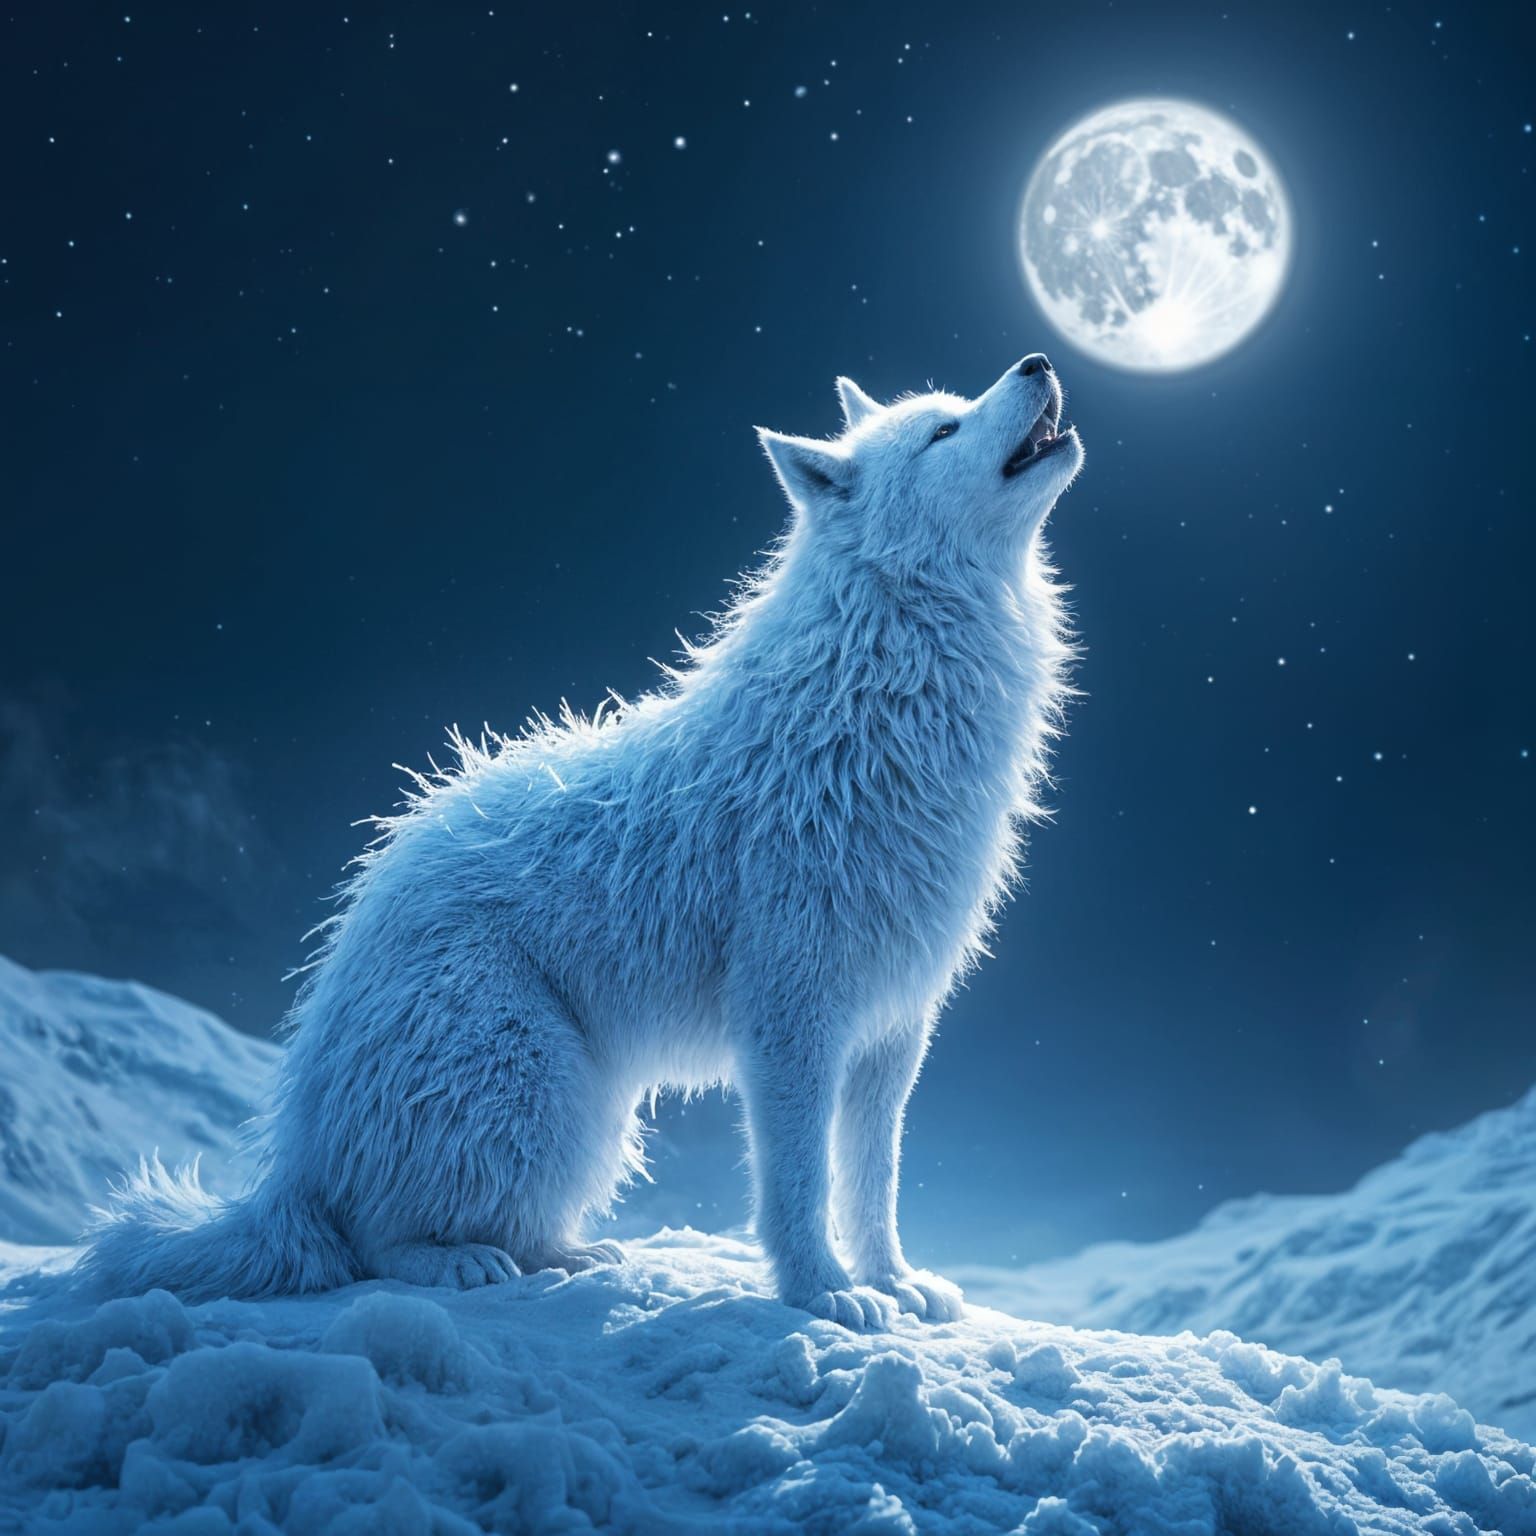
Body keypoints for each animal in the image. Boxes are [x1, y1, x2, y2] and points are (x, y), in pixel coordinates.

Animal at [80, 354, 1083, 1328]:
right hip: (529, 1079)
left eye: (957, 404)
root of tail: (296, 1151)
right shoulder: (789, 1016)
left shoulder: (893, 1027)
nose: (1038, 359)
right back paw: (456, 1263)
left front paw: (895, 1282)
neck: (876, 695)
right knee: (371, 1238)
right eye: (943, 430)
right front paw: (823, 1295)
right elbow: (798, 1181)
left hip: (586, 1110)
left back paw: (572, 1257)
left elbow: (873, 1181)